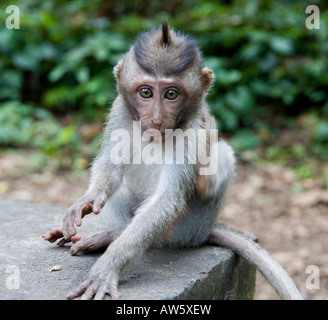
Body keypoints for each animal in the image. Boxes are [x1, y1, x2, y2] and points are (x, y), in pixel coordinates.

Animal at [43, 22, 302, 300]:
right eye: (146, 92)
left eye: (171, 94)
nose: (157, 119)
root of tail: (204, 232)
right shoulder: (119, 111)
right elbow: (110, 165)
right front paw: (87, 200)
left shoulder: (193, 129)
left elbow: (167, 199)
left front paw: (108, 265)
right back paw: (111, 234)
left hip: (186, 228)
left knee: (221, 153)